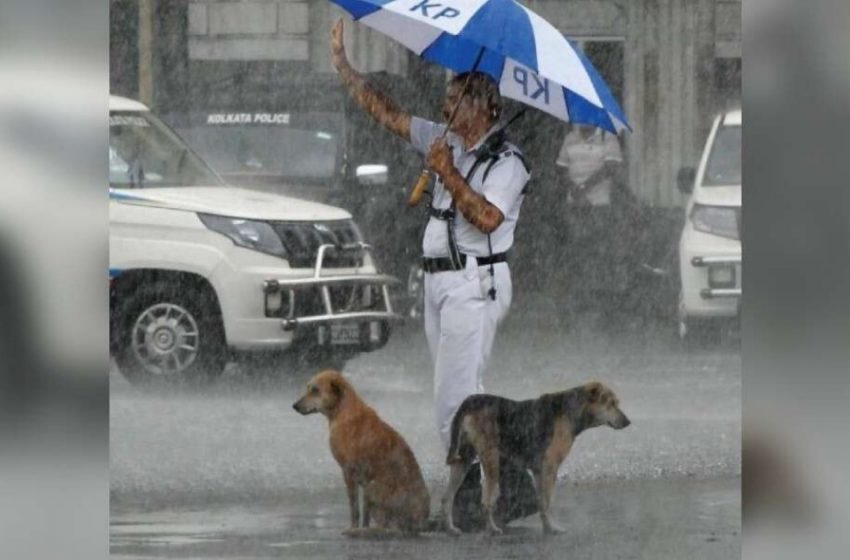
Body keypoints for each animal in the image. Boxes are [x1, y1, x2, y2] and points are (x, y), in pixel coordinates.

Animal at [294, 370, 430, 536]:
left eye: (315, 390)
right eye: (308, 388)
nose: (294, 406)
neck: (343, 411)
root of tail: (419, 524)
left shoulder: (348, 472)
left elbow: (354, 508)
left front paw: (353, 527)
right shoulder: (363, 481)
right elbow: (365, 513)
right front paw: (362, 526)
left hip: (373, 487)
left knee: (390, 527)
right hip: (370, 488)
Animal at [440, 382, 628, 536]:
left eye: (616, 403)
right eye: (610, 404)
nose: (628, 422)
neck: (572, 410)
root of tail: (472, 400)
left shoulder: (539, 471)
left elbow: (541, 502)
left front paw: (547, 527)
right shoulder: (550, 468)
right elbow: (547, 502)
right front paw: (553, 529)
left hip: (463, 460)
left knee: (447, 498)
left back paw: (451, 529)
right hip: (491, 460)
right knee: (486, 502)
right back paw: (492, 529)